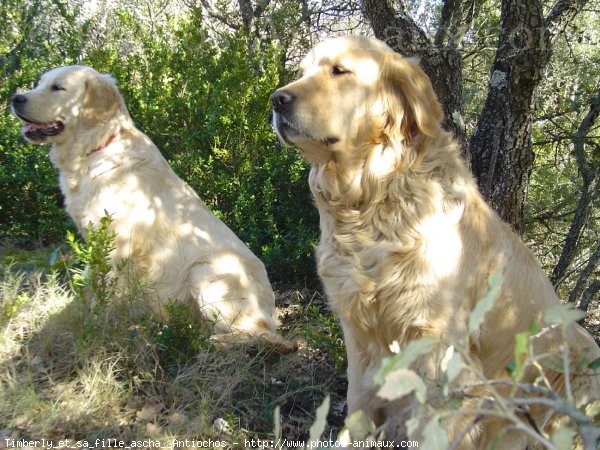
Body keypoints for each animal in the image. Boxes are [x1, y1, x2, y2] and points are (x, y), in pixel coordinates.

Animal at [12, 65, 296, 352]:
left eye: (57, 88)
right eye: (39, 83)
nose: (15, 98)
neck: (96, 148)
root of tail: (271, 313)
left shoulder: (119, 245)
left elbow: (107, 295)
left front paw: (101, 330)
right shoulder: (96, 240)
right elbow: (88, 285)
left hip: (205, 270)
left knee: (261, 335)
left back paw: (213, 341)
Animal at [274, 36, 600, 450]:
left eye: (339, 70)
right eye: (301, 72)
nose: (276, 99)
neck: (371, 200)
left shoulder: (437, 344)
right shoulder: (358, 336)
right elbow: (358, 403)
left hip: (583, 361)